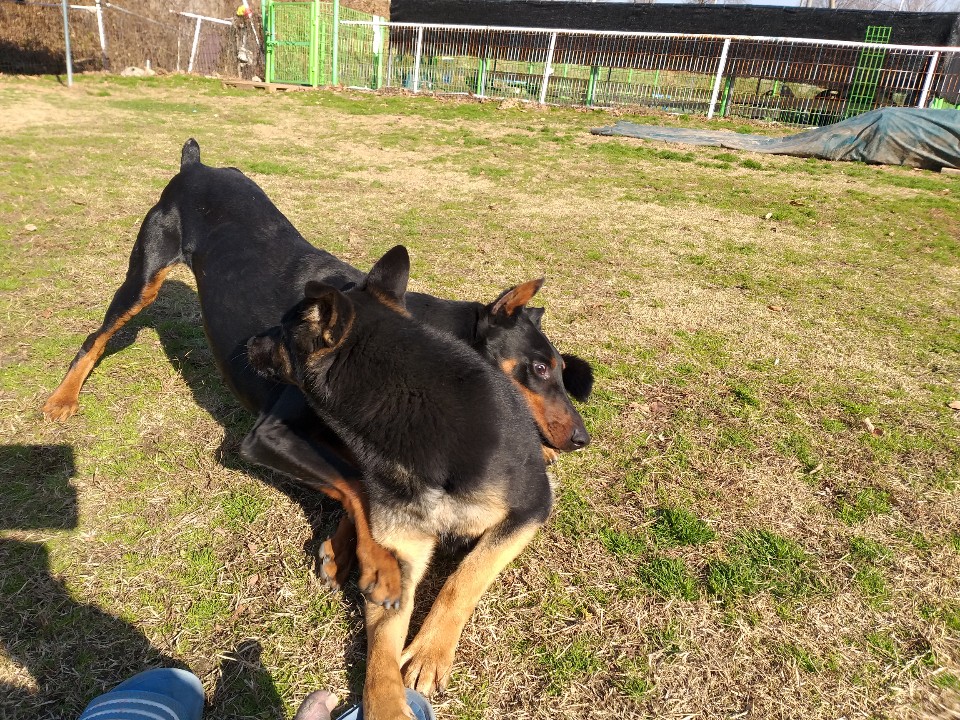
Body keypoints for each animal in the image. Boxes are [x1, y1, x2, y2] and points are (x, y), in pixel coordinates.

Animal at [43, 143, 592, 612]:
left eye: (563, 370)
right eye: (539, 368)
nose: (581, 438)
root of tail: (196, 166)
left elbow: (356, 476)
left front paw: (342, 548)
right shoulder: (269, 433)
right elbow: (354, 482)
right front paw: (377, 566)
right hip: (145, 275)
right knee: (96, 336)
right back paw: (63, 398)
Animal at [248, 246, 556, 720]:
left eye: (283, 328)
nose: (247, 343)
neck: (413, 411)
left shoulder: (531, 508)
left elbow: (466, 576)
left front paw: (429, 652)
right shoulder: (403, 554)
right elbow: (380, 654)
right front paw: (386, 705)